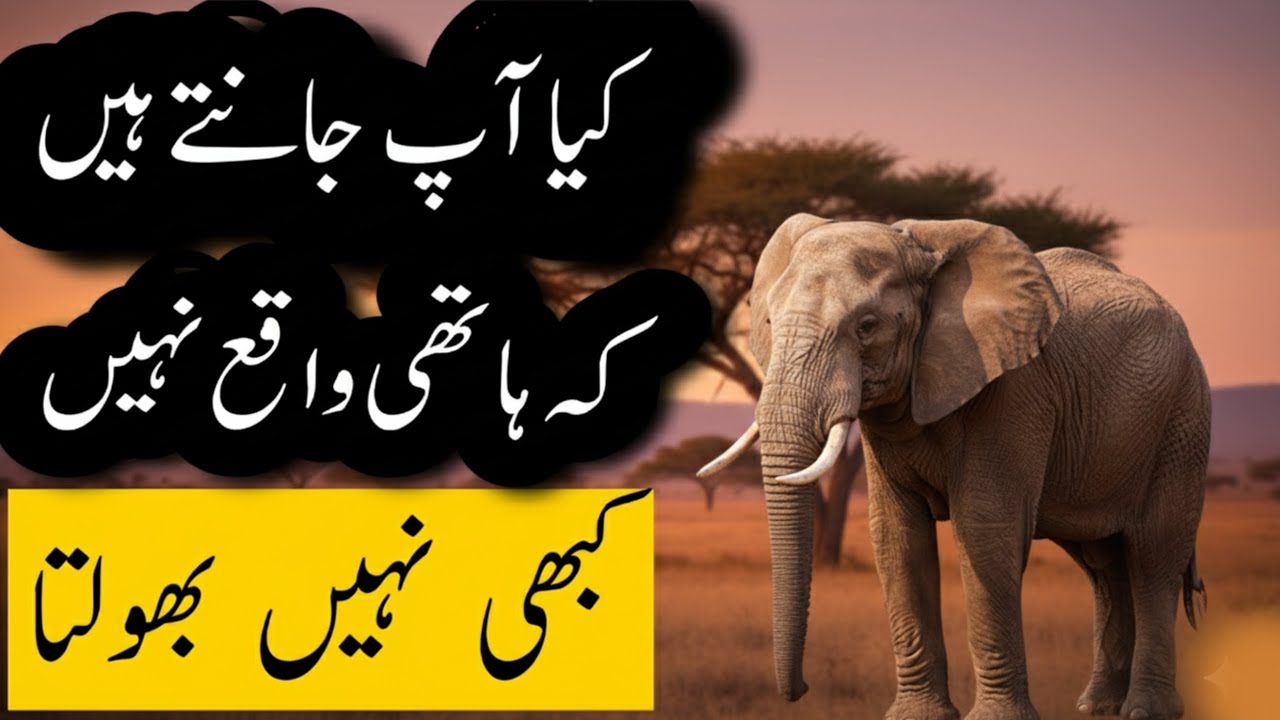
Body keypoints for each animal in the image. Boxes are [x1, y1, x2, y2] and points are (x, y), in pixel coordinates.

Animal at [698, 215, 1209, 720]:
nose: (801, 690)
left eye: (867, 326)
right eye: (768, 321)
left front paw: (996, 718)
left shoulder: (1014, 390)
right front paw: (917, 716)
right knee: (1103, 564)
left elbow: (986, 528)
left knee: (1154, 555)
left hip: (1182, 419)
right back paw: (1098, 707)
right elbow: (897, 537)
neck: (919, 249)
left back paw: (1145, 710)